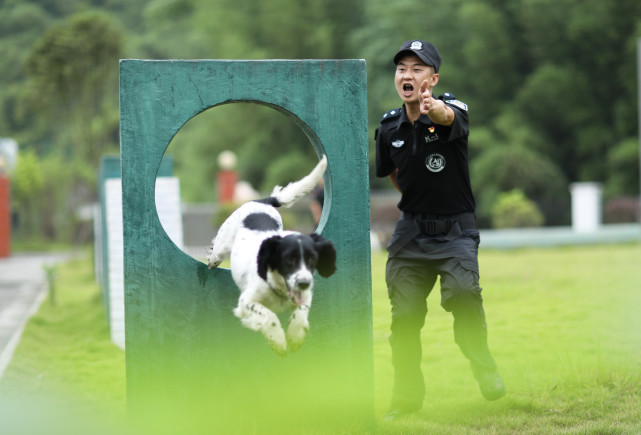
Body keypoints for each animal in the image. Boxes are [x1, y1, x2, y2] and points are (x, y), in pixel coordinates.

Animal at [206, 155, 338, 356]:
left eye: (312, 260)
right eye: (288, 259)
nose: (304, 283)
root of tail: (263, 201)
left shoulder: (304, 296)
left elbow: (301, 312)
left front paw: (295, 335)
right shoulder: (247, 301)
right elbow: (269, 316)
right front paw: (277, 340)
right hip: (224, 243)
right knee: (216, 252)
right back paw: (212, 260)